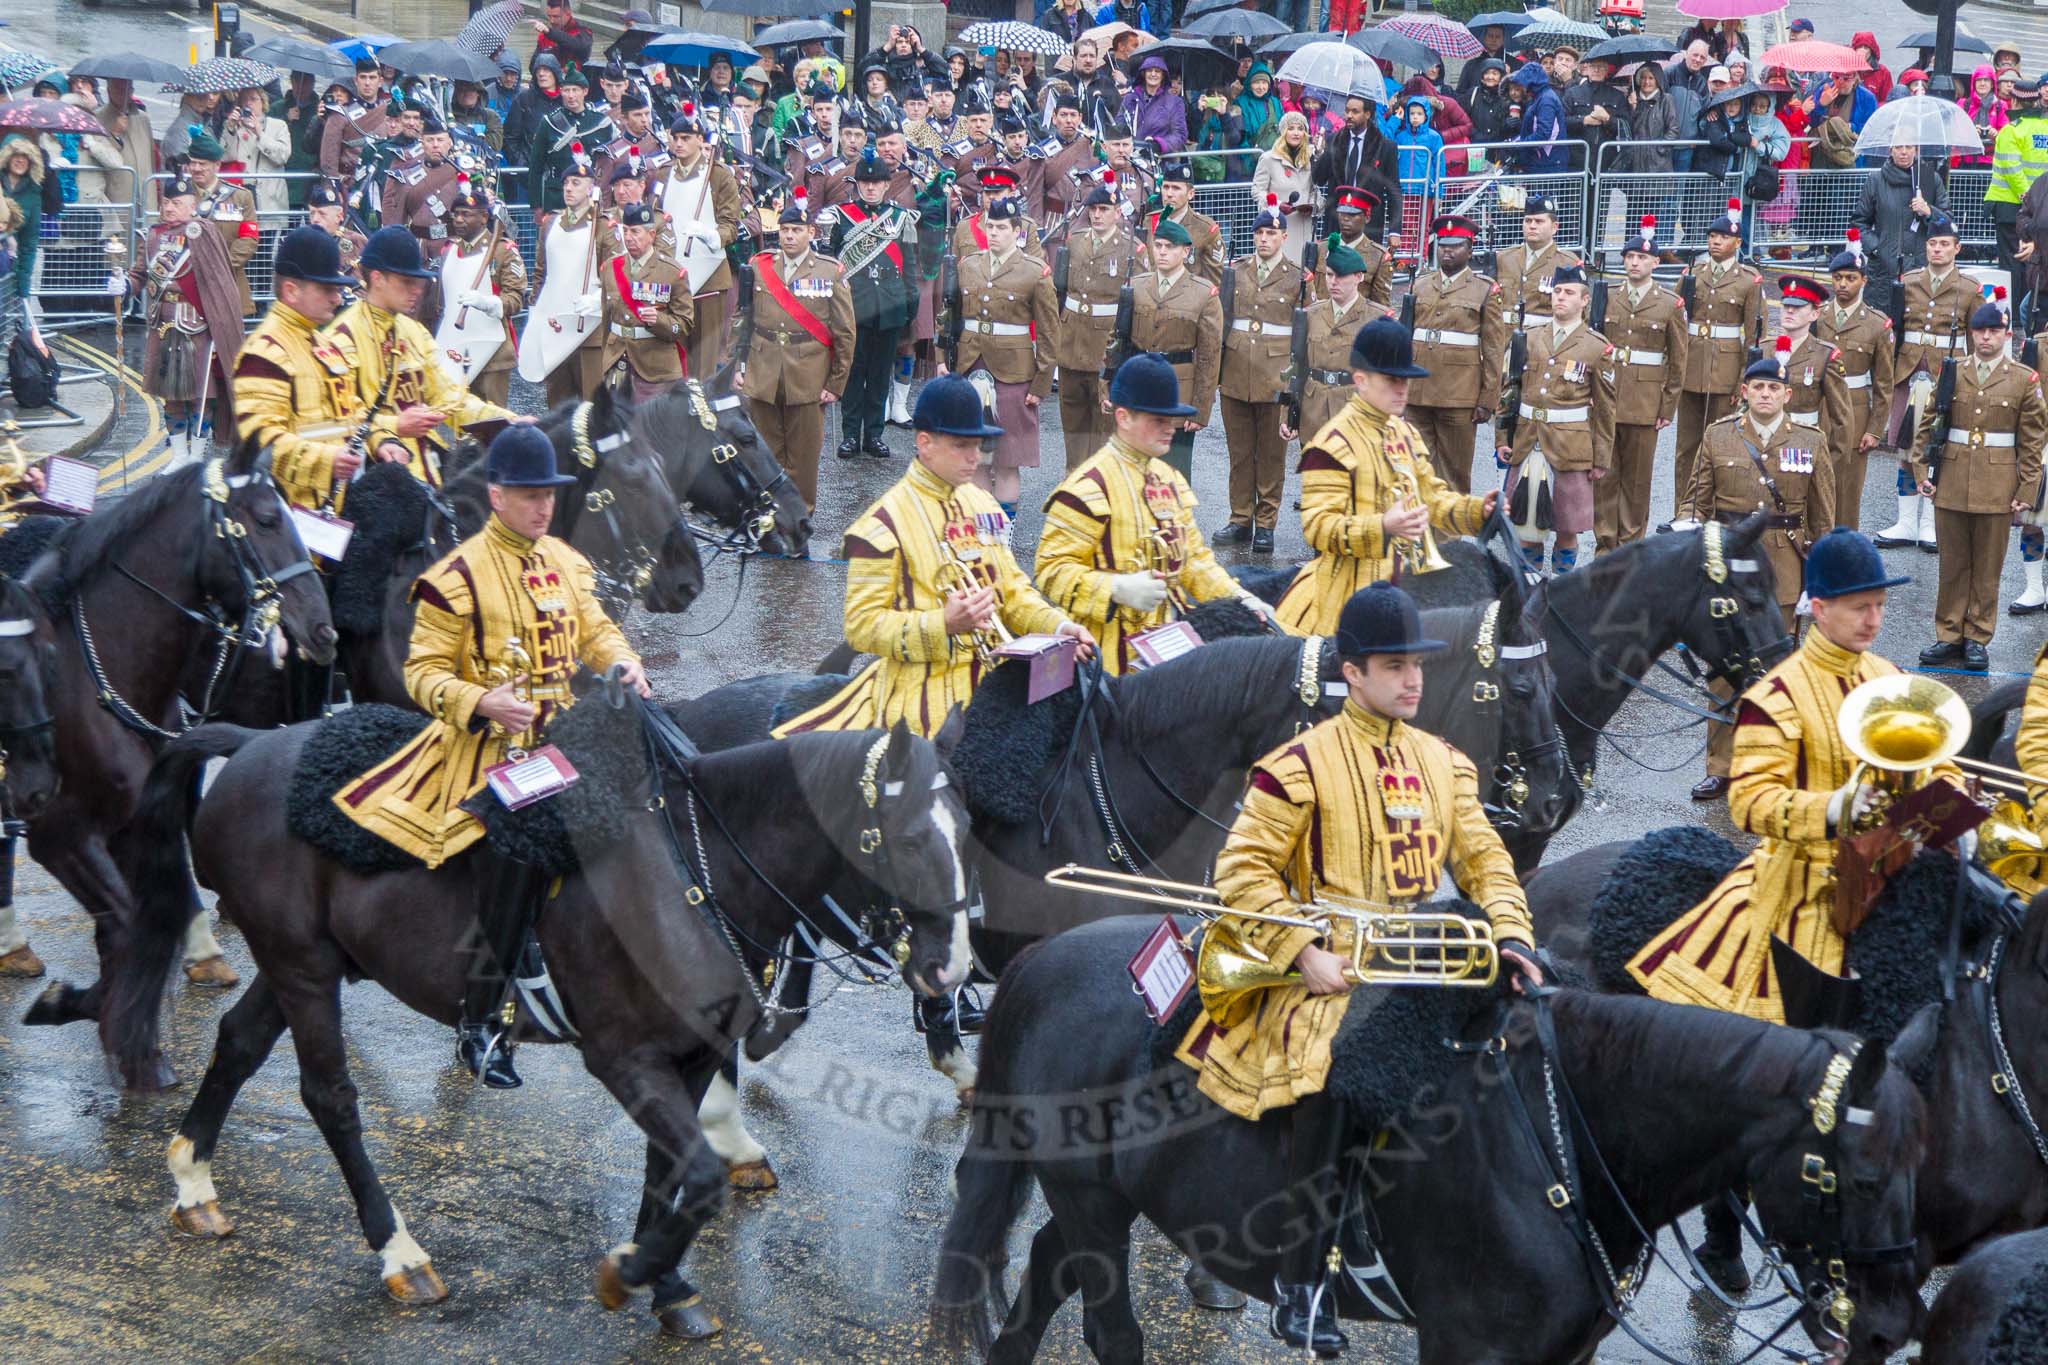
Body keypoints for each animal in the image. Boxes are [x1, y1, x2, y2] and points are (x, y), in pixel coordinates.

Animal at [14, 448, 333, 1035]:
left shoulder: (128, 821)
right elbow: (125, 925)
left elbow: (134, 921)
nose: (323, 631)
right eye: (267, 520)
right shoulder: (59, 835)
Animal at [103, 720, 974, 1342]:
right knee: (330, 1096)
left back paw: (193, 1178)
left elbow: (672, 1170)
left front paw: (665, 1282)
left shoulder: (689, 1055)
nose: (952, 969)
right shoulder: (623, 1058)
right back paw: (399, 1251)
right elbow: (696, 1175)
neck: (692, 878)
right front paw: (632, 1269)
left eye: (968, 831)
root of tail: (253, 744)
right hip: (305, 968)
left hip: (304, 964)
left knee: (239, 1042)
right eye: (907, 837)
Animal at [937, 916, 1925, 1365]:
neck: (1562, 1141)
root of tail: (1040, 958)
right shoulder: (1466, 1344)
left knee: (1041, 1269)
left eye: (1919, 1163)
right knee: (1108, 1323)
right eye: (1855, 1173)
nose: (1891, 1324)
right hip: (1096, 1207)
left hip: (1098, 1200)